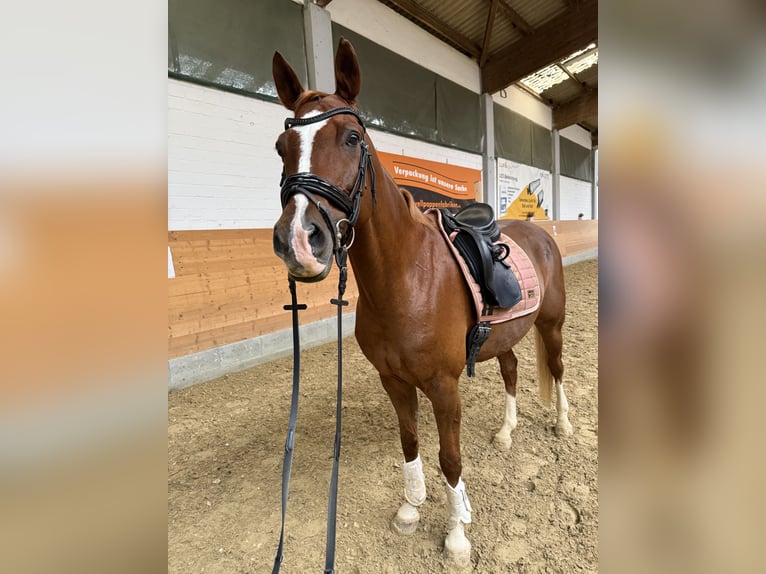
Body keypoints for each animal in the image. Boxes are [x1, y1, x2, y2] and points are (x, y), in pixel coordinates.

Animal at [271, 37, 573, 566]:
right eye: (281, 147)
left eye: (352, 138)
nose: (299, 241)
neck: (406, 281)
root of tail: (538, 230)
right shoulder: (393, 380)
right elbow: (410, 441)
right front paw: (411, 508)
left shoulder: (443, 386)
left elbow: (449, 457)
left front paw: (457, 536)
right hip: (507, 335)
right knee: (513, 369)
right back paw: (506, 432)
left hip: (550, 324)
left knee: (554, 368)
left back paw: (562, 423)